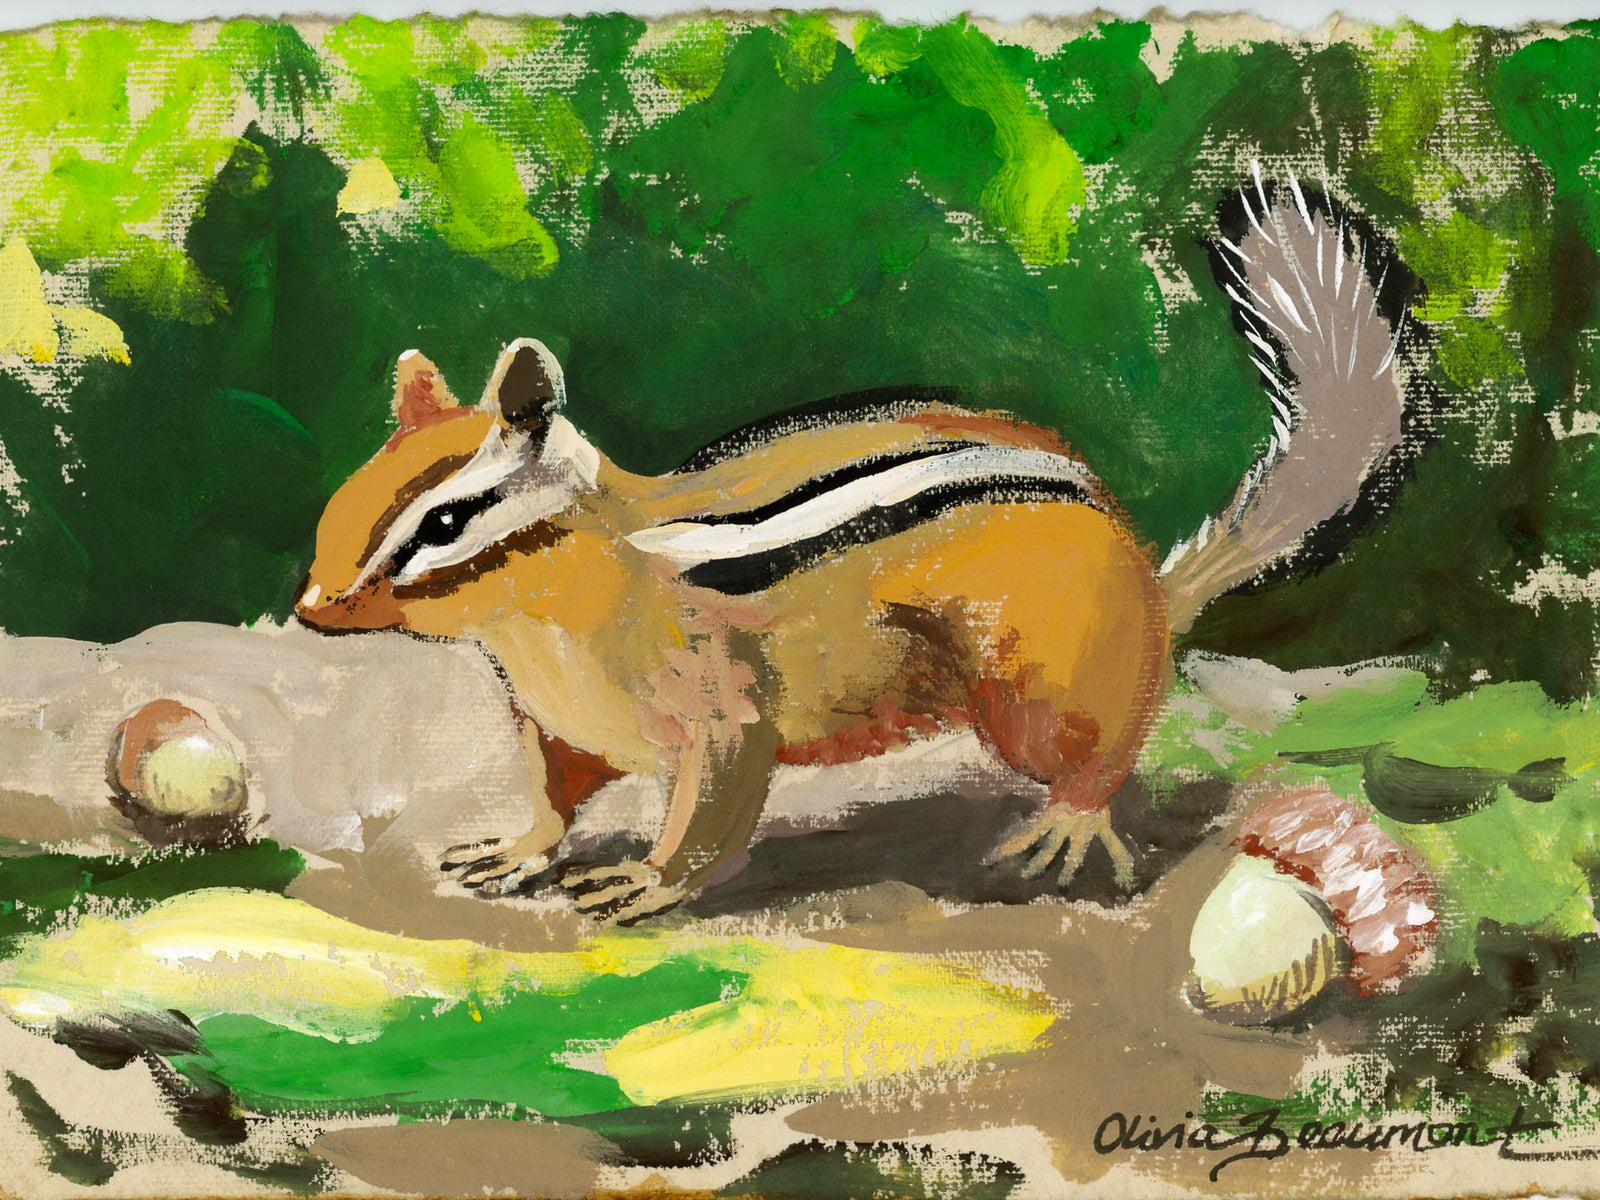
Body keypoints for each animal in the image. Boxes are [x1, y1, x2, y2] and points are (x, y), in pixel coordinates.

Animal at [296, 173, 1412, 924]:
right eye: (346, 497)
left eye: (444, 524)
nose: (311, 610)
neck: (552, 618)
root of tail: (1145, 570)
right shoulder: (552, 723)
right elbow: (549, 790)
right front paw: (521, 848)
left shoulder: (721, 709)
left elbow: (710, 810)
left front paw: (645, 880)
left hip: (1043, 686)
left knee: (1102, 745)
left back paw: (1072, 821)